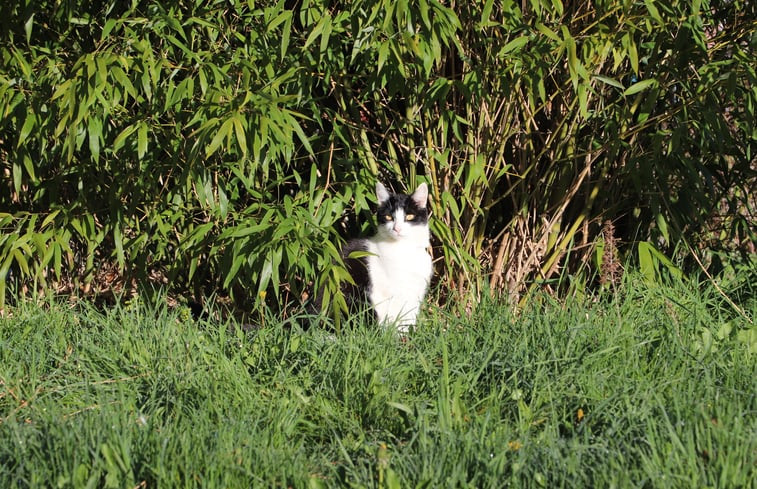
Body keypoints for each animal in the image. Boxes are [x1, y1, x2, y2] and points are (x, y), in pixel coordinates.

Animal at [342, 182, 434, 332]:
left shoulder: (416, 290)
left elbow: (409, 316)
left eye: (409, 217)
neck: (405, 250)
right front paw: (398, 336)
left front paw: (410, 335)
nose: (397, 228)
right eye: (389, 217)